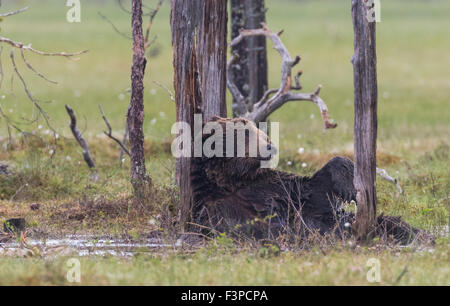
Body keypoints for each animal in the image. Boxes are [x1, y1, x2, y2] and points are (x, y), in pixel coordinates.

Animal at [191, 116, 422, 245]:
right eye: (246, 132)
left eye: (260, 130)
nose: (270, 145)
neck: (236, 179)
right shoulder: (224, 207)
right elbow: (258, 227)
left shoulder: (283, 187)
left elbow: (316, 190)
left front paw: (352, 188)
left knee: (393, 223)